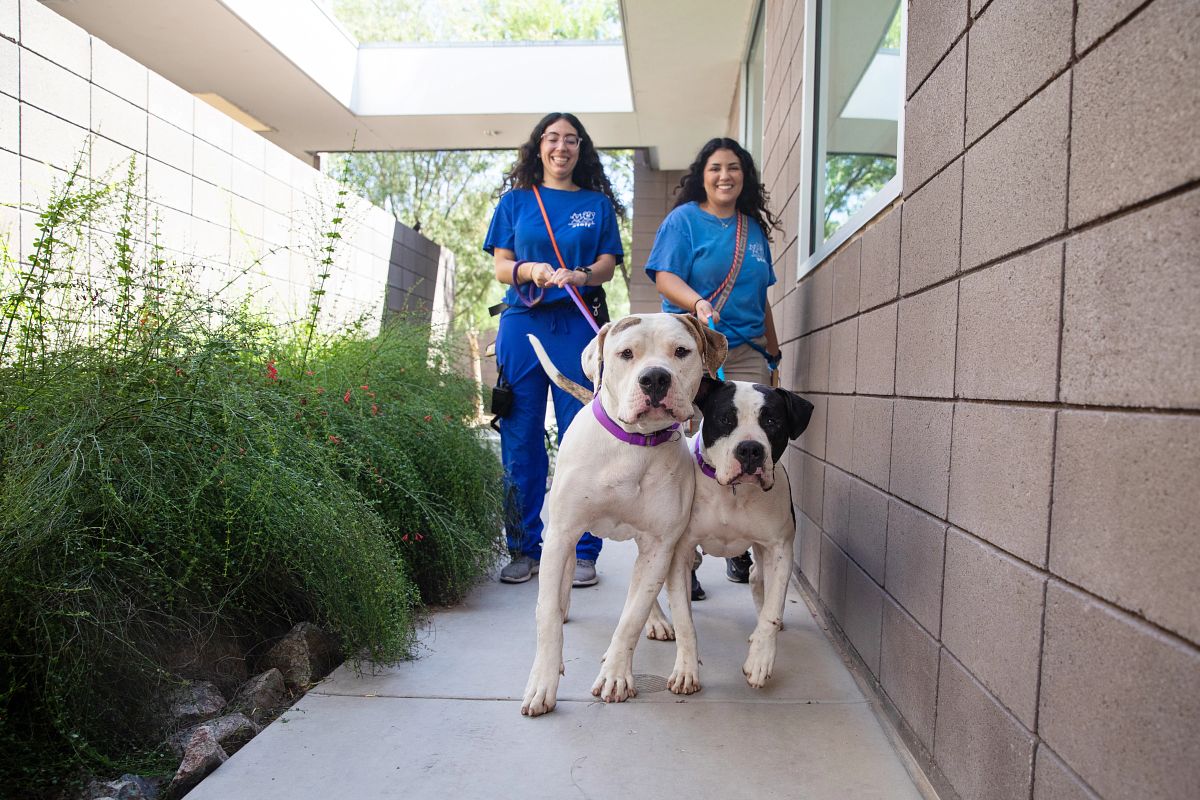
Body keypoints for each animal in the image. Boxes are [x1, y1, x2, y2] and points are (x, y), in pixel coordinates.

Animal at [520, 309, 724, 714]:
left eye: (681, 351)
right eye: (626, 354)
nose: (655, 377)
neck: (634, 446)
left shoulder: (661, 545)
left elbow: (631, 618)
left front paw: (616, 674)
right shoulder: (561, 534)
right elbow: (546, 614)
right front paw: (542, 682)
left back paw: (657, 620)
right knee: (563, 583)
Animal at [648, 376, 816, 695]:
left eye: (772, 421)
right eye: (726, 419)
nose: (750, 449)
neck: (734, 493)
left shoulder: (779, 549)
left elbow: (772, 610)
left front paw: (760, 658)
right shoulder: (680, 551)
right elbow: (685, 622)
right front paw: (686, 671)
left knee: (757, 579)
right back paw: (657, 621)